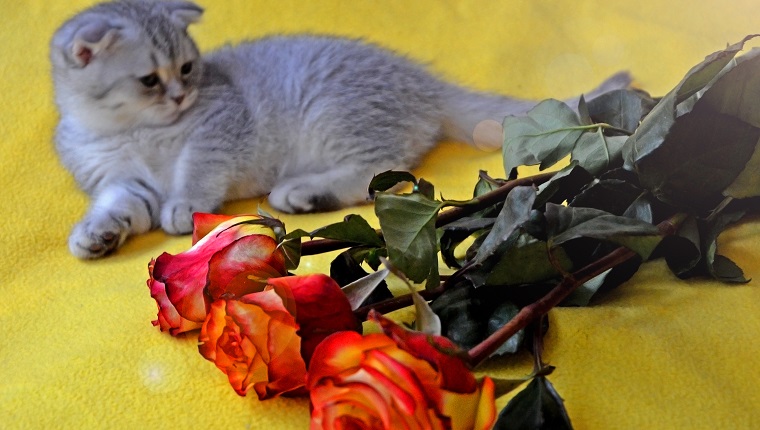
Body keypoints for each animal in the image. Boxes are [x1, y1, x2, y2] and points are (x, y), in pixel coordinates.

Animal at [49, 0, 628, 258]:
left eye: (188, 69)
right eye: (150, 79)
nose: (180, 95)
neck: (127, 132)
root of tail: (422, 81)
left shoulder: (218, 125)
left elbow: (196, 169)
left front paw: (183, 203)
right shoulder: (120, 180)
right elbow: (120, 205)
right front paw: (97, 234)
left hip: (332, 114)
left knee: (379, 173)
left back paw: (302, 192)